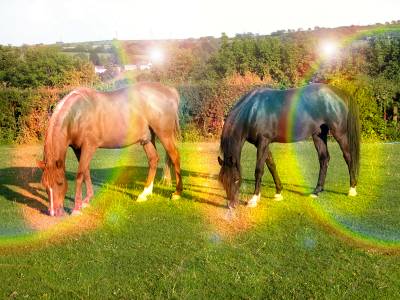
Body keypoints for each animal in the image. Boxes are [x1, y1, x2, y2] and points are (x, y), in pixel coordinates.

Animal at [36, 83, 184, 217]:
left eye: (60, 183)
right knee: (153, 159)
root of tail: (170, 91)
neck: (77, 114)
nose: (53, 212)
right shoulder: (78, 149)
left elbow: (80, 175)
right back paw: (145, 193)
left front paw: (76, 208)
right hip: (146, 139)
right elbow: (86, 171)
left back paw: (177, 193)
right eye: (44, 185)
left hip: (164, 134)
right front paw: (87, 200)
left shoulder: (89, 146)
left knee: (175, 156)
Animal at [217, 82, 360, 209]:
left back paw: (352, 189)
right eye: (222, 180)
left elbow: (259, 169)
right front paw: (278, 192)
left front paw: (254, 199)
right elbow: (271, 165)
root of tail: (340, 93)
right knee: (324, 159)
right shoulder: (262, 144)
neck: (253, 110)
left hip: (340, 133)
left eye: (236, 179)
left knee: (348, 156)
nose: (231, 205)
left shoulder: (263, 141)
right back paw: (317, 191)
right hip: (318, 134)